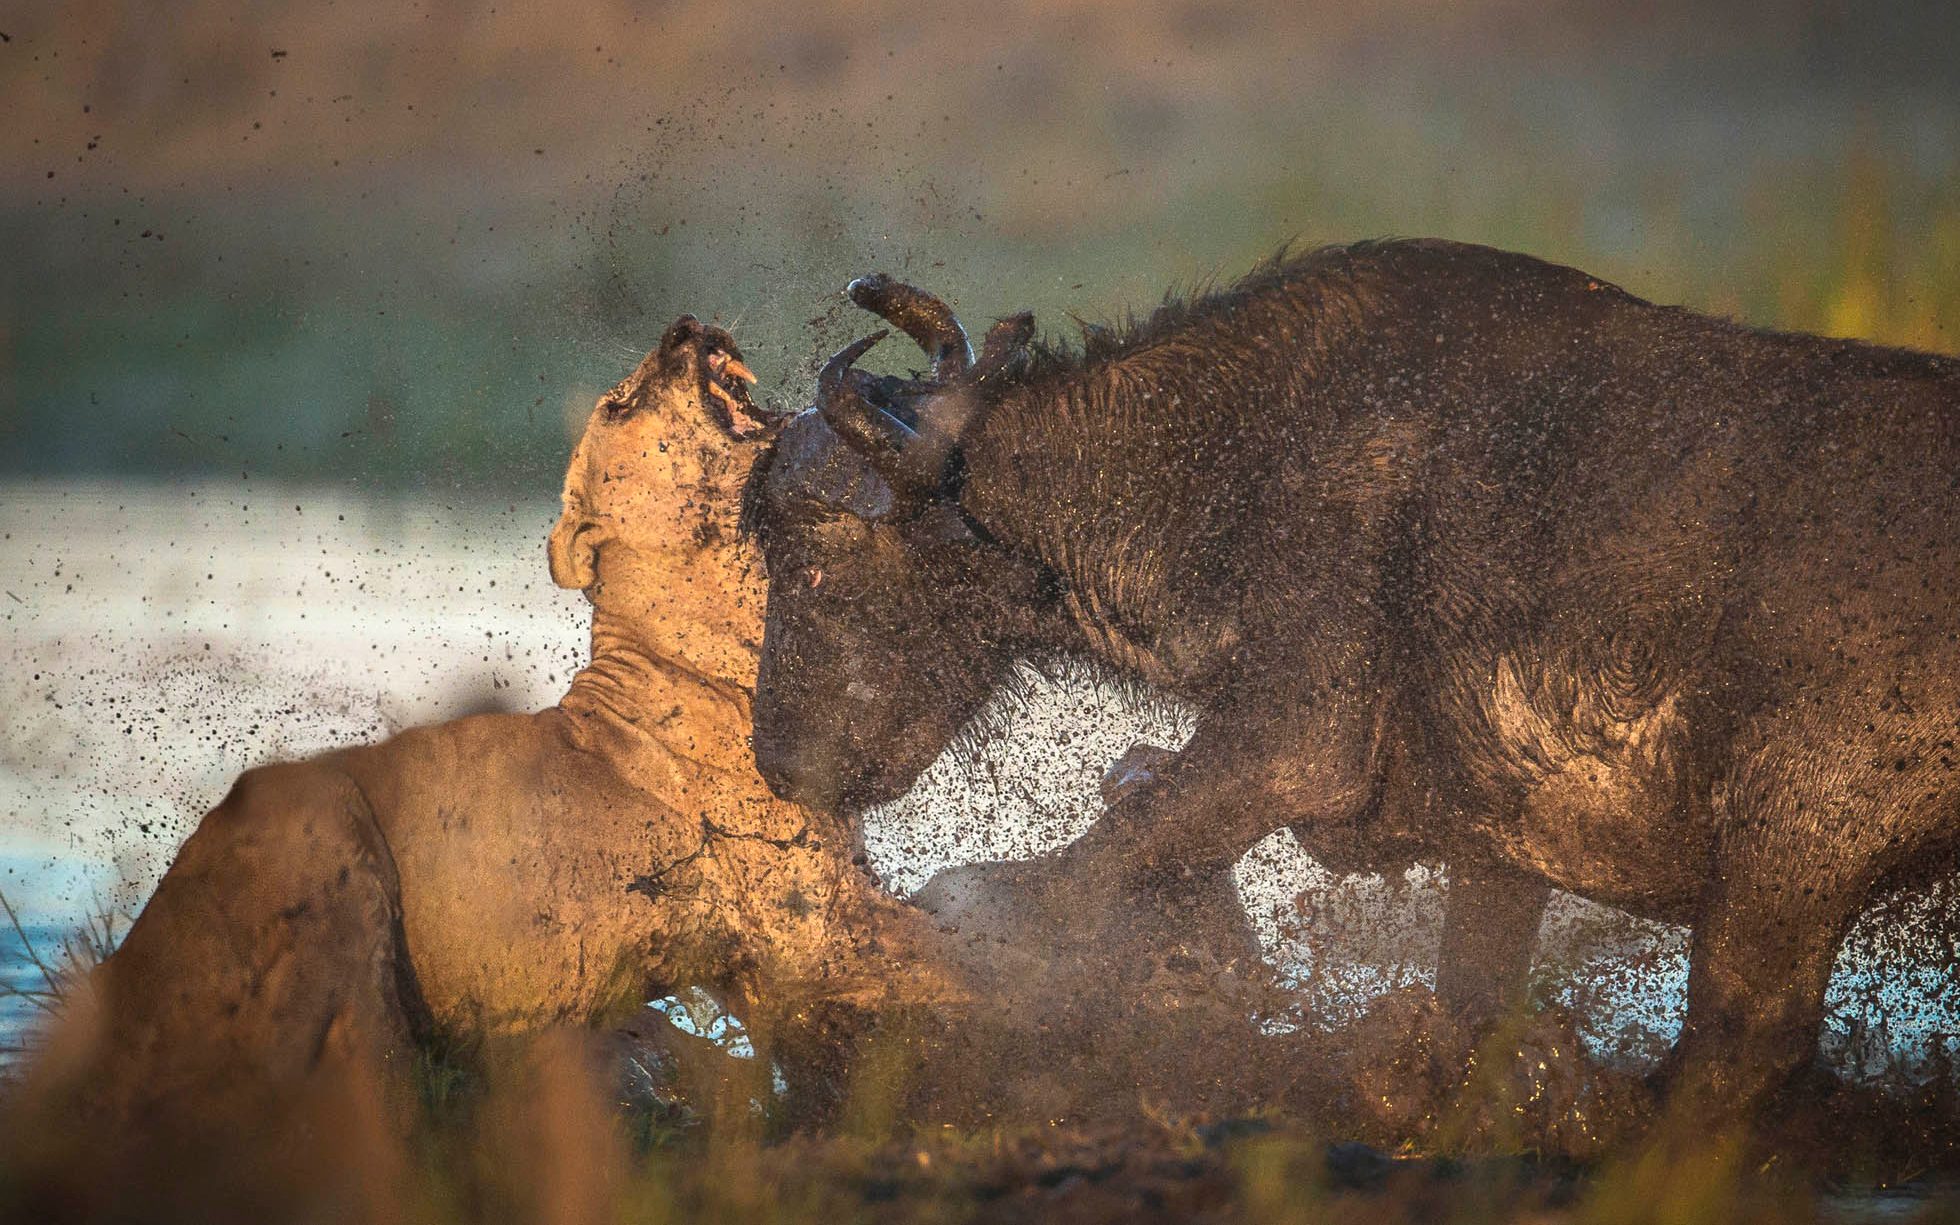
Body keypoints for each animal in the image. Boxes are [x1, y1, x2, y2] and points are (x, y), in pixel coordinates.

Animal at [740, 241, 1952, 1128]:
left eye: (812, 560)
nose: (778, 761)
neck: (1240, 455)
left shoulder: (1292, 737)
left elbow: (1097, 858)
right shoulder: (1496, 849)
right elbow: (1467, 1003)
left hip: (1784, 861)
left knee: (1737, 1051)